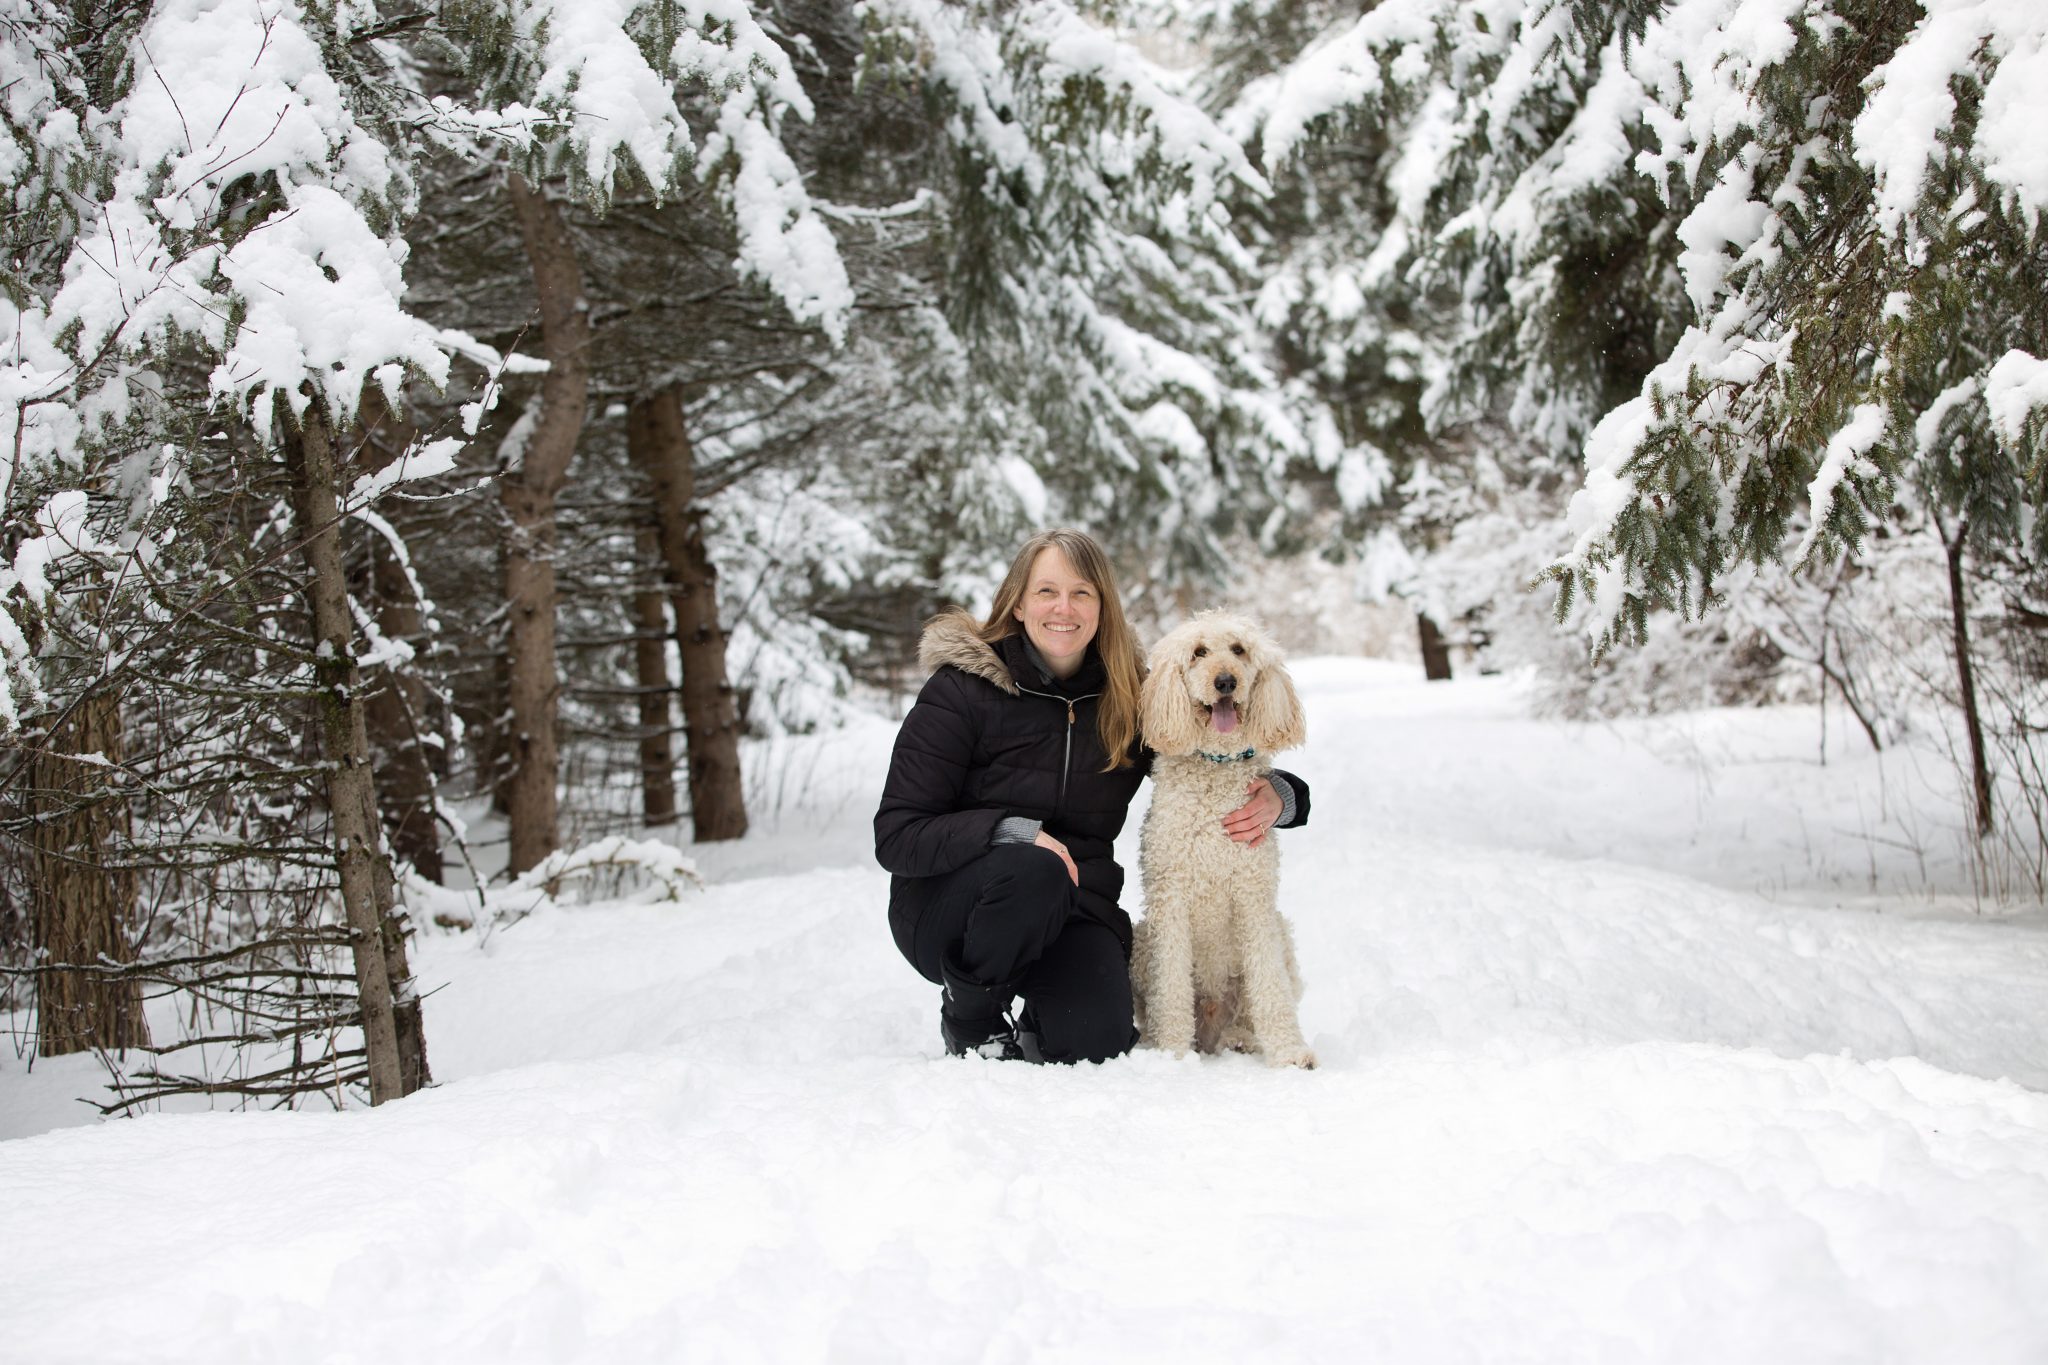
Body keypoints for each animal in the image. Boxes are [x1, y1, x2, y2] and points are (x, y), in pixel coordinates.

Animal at [1131, 611, 1313, 1068]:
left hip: (1280, 933)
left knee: (1249, 1009)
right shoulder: (1170, 898)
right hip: (1142, 939)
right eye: (1198, 652)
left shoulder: (1253, 895)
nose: (1226, 681)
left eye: (1239, 649)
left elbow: (1269, 984)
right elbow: (1171, 987)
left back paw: (1241, 1039)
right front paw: (1172, 1054)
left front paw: (1290, 1052)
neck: (1216, 766)